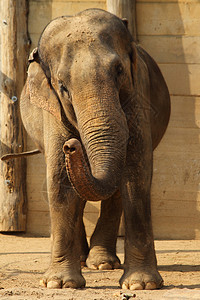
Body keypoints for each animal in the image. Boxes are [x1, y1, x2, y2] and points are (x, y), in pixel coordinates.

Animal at [19, 8, 170, 290]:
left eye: (119, 70)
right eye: (62, 86)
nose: (72, 146)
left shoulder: (139, 95)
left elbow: (136, 174)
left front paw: (140, 285)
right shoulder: (52, 108)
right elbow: (59, 180)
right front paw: (59, 283)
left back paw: (102, 263)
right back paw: (82, 259)